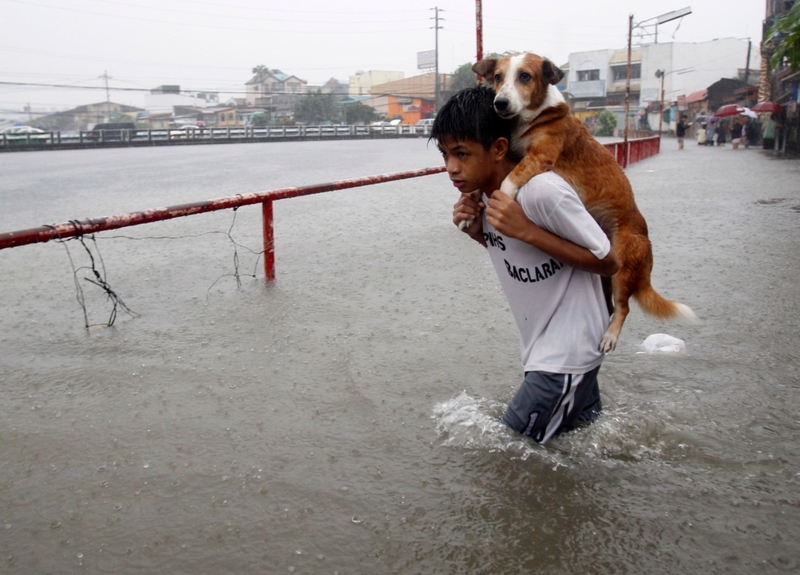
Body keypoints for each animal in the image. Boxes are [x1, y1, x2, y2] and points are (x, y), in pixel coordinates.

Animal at [472, 54, 696, 354]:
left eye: (525, 76)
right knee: (610, 304)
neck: (533, 117)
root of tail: (647, 245)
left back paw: (610, 336)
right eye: (497, 77)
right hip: (605, 276)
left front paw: (502, 199)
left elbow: (509, 180)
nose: (500, 103)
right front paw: (469, 205)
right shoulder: (513, 152)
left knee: (623, 308)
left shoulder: (540, 156)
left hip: (622, 267)